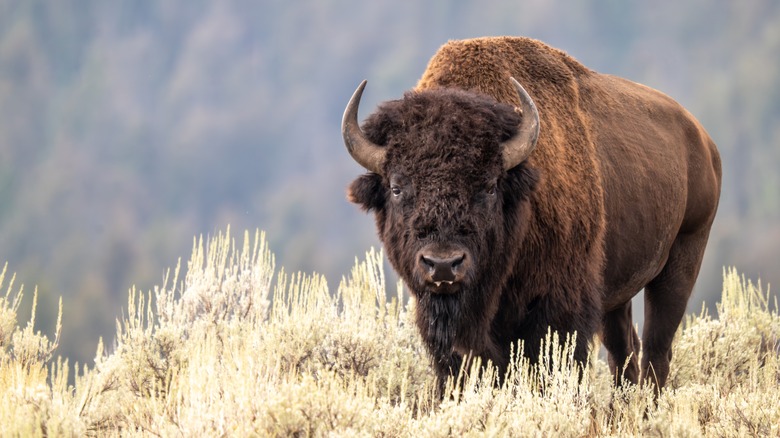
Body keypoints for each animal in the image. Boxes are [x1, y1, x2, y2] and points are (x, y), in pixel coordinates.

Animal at [342, 37, 721, 392]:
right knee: (623, 352)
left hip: (682, 261)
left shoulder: (560, 310)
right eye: (396, 187)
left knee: (657, 351)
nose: (443, 265)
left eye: (489, 186)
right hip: (618, 292)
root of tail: (703, 140)